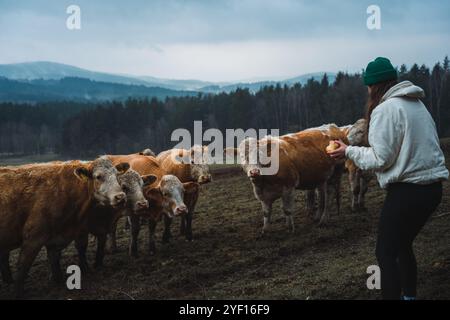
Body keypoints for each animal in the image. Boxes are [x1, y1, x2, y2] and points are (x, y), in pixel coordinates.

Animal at [0, 156, 128, 296]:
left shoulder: (57, 238)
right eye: (98, 177)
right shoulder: (33, 239)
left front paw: (57, 282)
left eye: (117, 175)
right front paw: (18, 292)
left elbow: (56, 262)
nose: (120, 197)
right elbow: (23, 268)